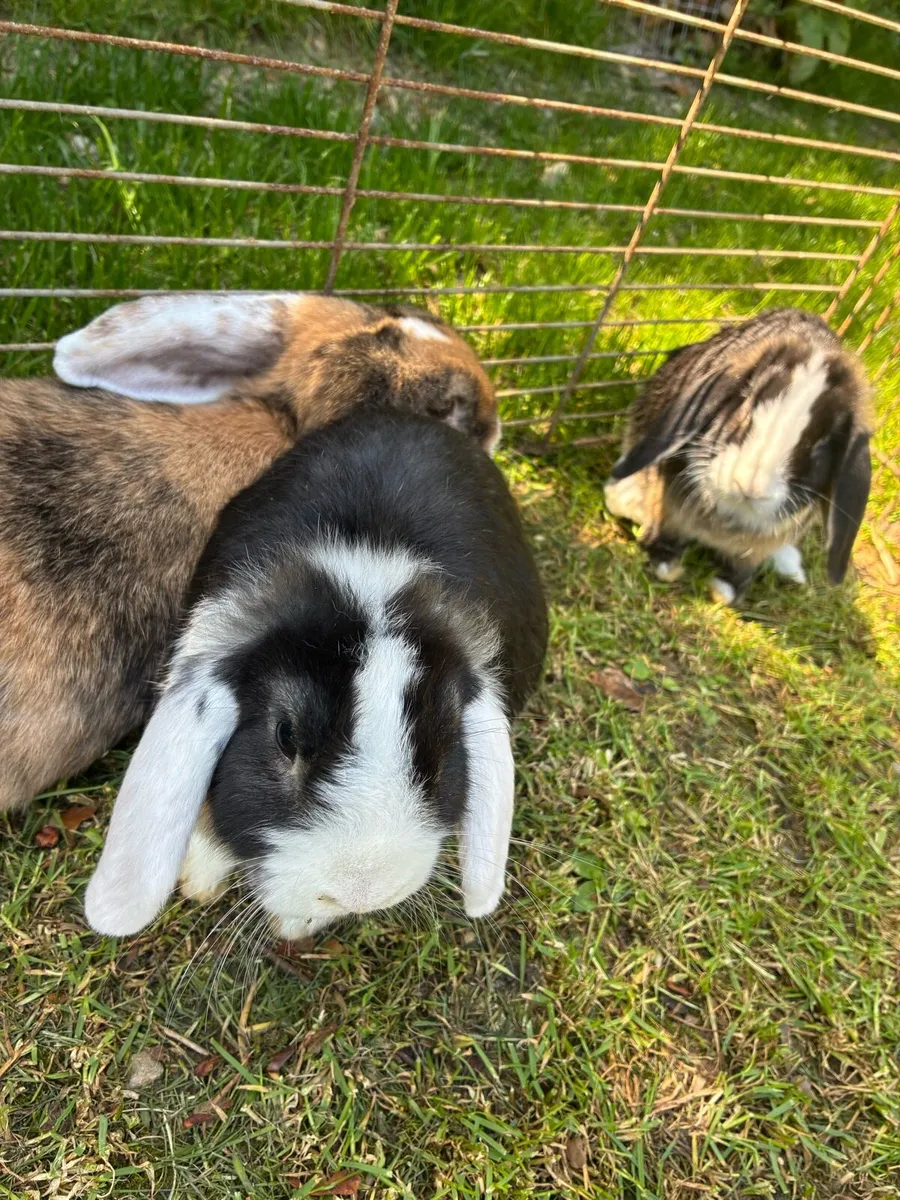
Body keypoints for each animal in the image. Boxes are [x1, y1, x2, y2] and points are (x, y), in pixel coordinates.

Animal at [84, 407, 549, 938]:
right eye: (285, 735)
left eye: (446, 743)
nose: (362, 892)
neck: (367, 574)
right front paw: (202, 877)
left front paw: (294, 923)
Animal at [603, 308, 873, 605]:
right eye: (745, 404)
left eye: (821, 445)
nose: (750, 486)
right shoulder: (667, 509)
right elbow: (665, 534)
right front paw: (666, 564)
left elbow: (741, 571)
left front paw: (725, 591)